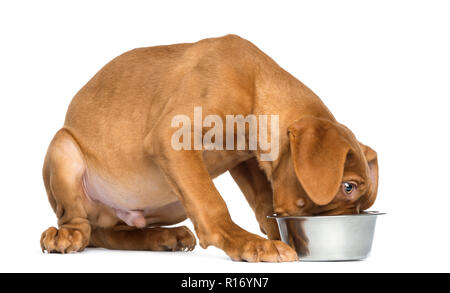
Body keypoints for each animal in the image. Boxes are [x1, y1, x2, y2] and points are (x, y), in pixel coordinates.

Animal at [43, 34, 380, 260]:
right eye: (348, 187)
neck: (254, 80)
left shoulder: (246, 161)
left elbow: (264, 203)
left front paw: (273, 236)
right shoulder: (172, 137)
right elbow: (211, 203)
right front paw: (249, 243)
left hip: (171, 203)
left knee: (110, 233)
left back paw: (162, 236)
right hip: (63, 150)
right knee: (82, 226)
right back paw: (66, 235)